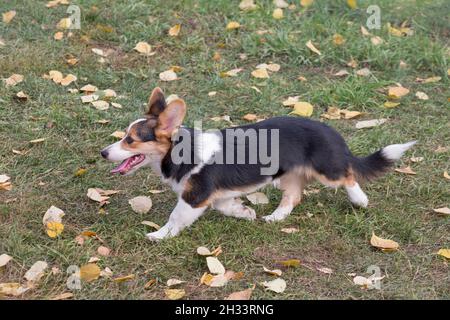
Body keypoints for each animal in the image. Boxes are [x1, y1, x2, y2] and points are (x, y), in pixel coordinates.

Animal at [101, 87, 414, 240]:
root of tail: (333, 133)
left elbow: (175, 218)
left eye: (130, 140)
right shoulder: (213, 196)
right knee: (293, 197)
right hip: (287, 175)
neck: (180, 151)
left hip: (328, 170)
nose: (104, 153)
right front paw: (245, 212)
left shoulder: (194, 197)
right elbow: (226, 206)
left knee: (348, 175)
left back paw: (360, 199)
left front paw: (158, 235)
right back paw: (275, 217)